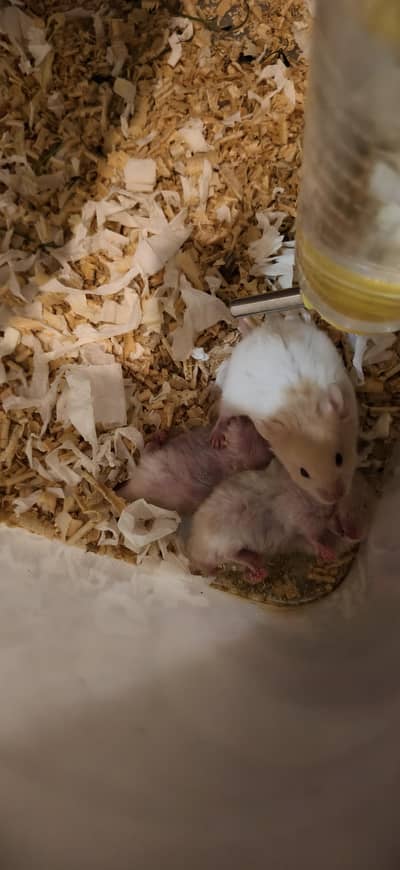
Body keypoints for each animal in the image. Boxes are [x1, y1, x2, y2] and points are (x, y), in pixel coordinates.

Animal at [187, 461, 372, 583]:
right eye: (364, 504)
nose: (357, 536)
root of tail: (195, 555)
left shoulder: (300, 539)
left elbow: (311, 538)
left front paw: (329, 555)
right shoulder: (299, 510)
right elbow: (310, 533)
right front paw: (328, 554)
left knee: (235, 559)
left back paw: (256, 571)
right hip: (223, 537)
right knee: (227, 554)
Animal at [211, 316, 359, 505]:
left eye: (340, 458)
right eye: (303, 472)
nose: (335, 498)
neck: (302, 409)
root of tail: (258, 330)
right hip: (231, 397)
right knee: (223, 415)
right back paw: (215, 440)